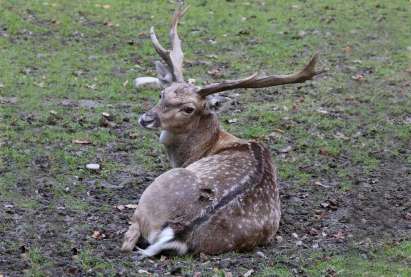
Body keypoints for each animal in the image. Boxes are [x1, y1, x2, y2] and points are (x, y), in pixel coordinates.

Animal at [121, 7, 322, 256]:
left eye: (189, 108)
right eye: (162, 93)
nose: (146, 119)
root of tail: (180, 231)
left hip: (155, 191)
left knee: (128, 240)